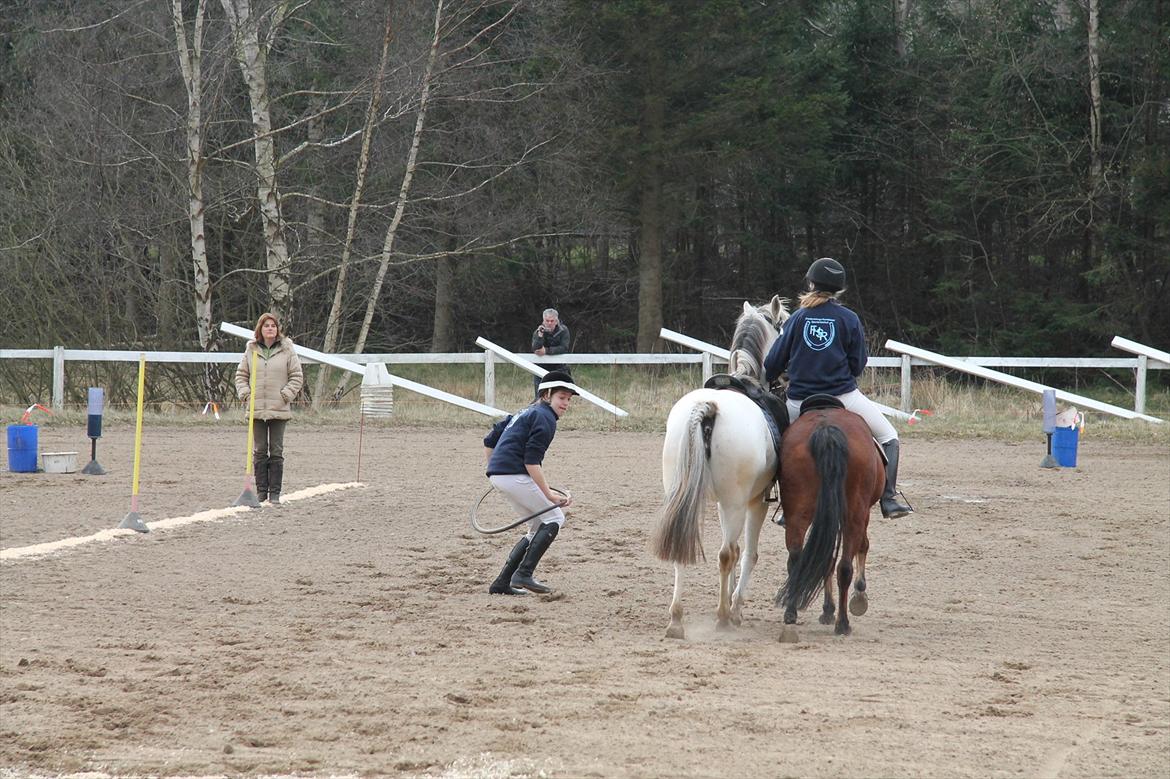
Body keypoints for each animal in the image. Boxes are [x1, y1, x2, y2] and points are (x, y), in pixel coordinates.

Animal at [651, 296, 789, 639]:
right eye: (785, 324)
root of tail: (708, 407)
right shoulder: (754, 502)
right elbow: (747, 554)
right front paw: (736, 607)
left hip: (683, 495)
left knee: (681, 550)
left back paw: (676, 620)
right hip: (736, 502)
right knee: (727, 554)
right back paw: (724, 617)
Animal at [774, 403, 885, 638]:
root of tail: (827, 429)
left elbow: (825, 559)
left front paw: (827, 610)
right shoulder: (863, 514)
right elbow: (862, 546)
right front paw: (858, 597)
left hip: (798, 511)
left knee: (797, 559)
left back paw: (791, 613)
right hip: (854, 513)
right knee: (845, 566)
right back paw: (843, 623)